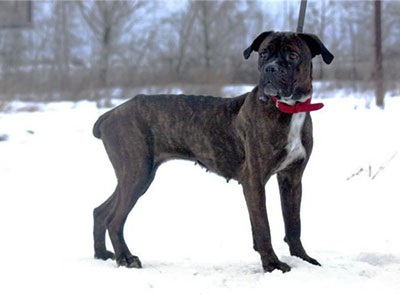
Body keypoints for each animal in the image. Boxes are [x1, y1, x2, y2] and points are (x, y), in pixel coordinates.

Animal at [92, 31, 332, 274]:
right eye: (264, 53)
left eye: (293, 55)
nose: (271, 68)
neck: (290, 109)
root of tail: (110, 113)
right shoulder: (254, 180)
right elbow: (263, 226)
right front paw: (272, 264)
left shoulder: (292, 179)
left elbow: (294, 224)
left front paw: (303, 259)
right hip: (137, 173)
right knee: (114, 219)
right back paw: (125, 258)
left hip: (136, 176)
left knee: (101, 211)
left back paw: (102, 254)